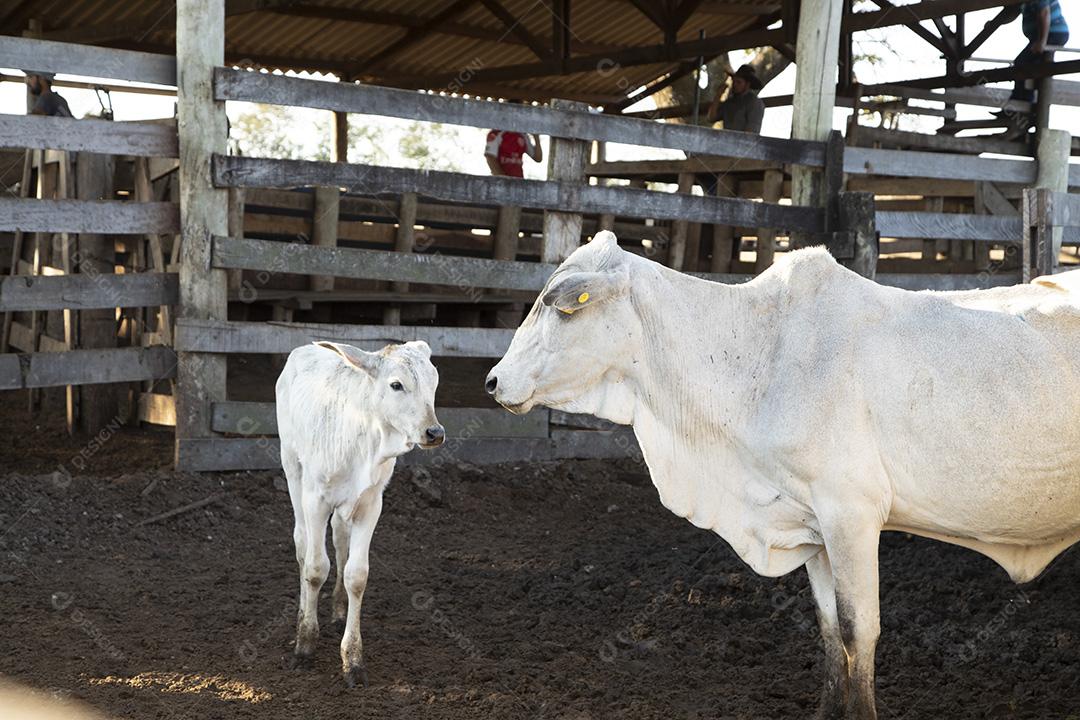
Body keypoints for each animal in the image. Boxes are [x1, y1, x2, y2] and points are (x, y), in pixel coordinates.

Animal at [277, 340, 445, 687]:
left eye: (434, 381)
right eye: (396, 385)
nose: (434, 432)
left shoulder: (371, 502)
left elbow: (357, 575)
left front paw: (353, 660)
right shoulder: (315, 497)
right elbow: (315, 568)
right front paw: (304, 645)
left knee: (340, 540)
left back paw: (339, 608)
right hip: (291, 465)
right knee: (302, 543)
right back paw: (302, 612)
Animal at [485, 231, 1080, 719]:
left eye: (561, 309)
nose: (492, 381)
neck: (758, 354)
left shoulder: (851, 514)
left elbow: (858, 628)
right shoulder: (811, 522)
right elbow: (829, 629)